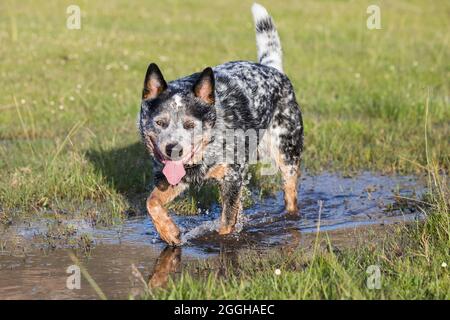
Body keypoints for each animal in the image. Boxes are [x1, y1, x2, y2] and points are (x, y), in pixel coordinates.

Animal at [139, 3, 304, 245]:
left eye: (190, 124)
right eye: (160, 122)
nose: (173, 149)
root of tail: (273, 70)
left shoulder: (232, 177)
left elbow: (226, 224)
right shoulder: (174, 177)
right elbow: (151, 202)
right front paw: (169, 232)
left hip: (287, 154)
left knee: (290, 196)